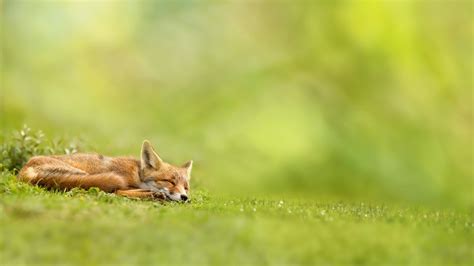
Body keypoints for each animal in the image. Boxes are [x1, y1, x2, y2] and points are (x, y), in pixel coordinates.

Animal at [18, 140, 193, 201]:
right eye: (170, 181)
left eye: (186, 188)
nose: (185, 197)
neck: (137, 174)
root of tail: (24, 170)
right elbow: (120, 191)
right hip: (83, 176)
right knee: (111, 192)